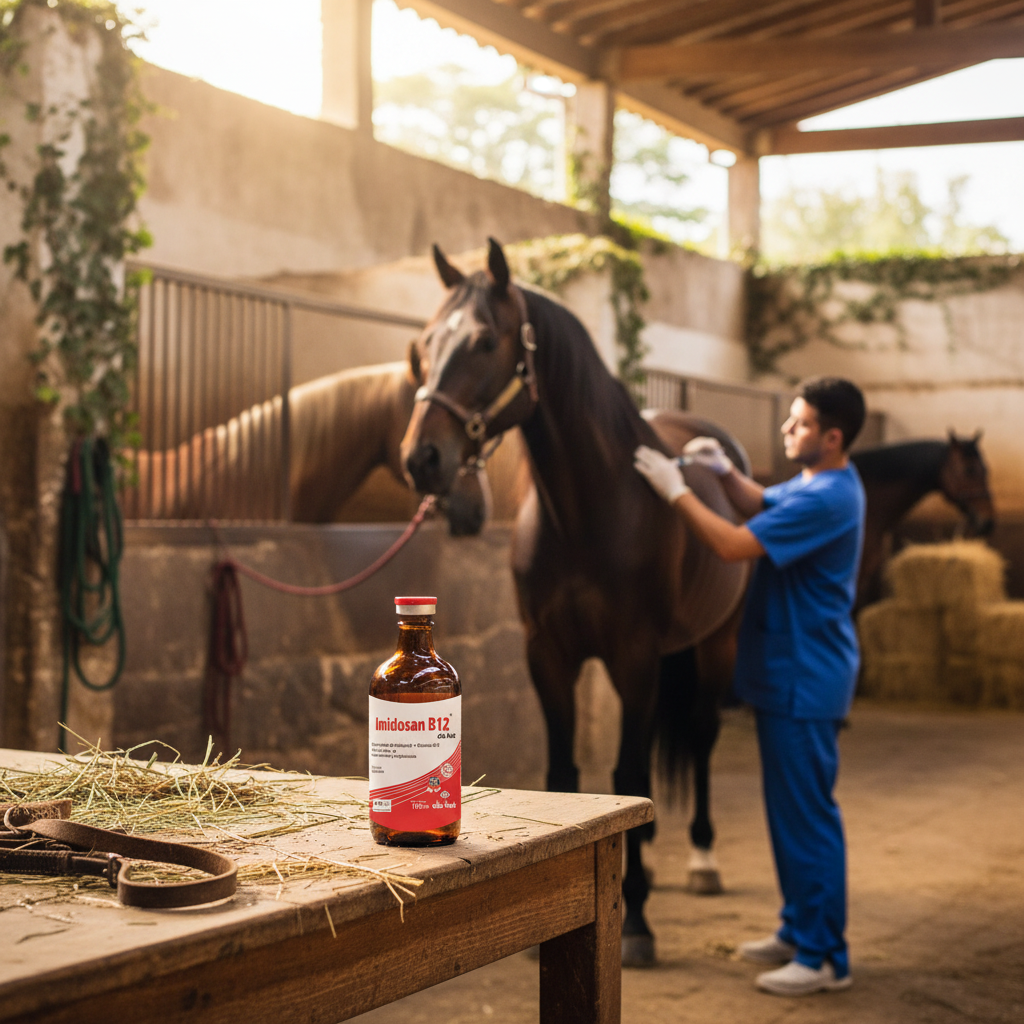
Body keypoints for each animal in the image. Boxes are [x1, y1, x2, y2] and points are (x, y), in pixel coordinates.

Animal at [400, 237, 751, 965]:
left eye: (484, 341)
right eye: (425, 342)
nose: (422, 459)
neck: (591, 510)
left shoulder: (634, 658)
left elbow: (626, 765)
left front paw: (636, 919)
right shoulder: (548, 655)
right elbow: (566, 768)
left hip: (716, 645)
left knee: (701, 738)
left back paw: (700, 860)